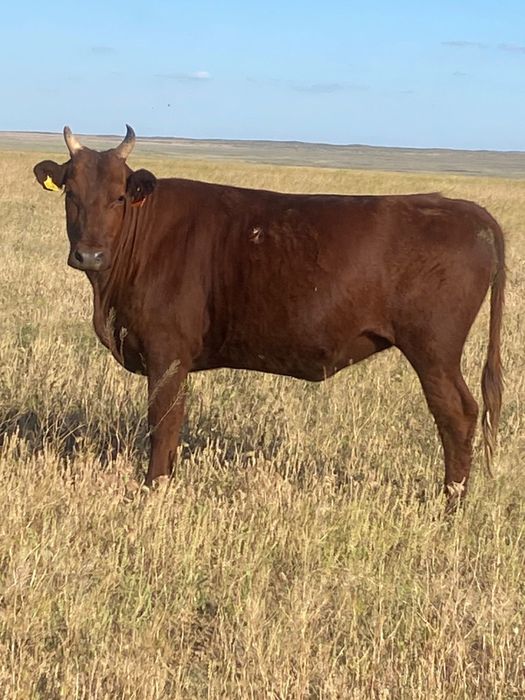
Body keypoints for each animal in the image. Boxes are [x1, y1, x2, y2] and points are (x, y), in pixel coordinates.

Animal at [33, 126, 505, 508]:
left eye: (118, 196)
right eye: (71, 194)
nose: (89, 255)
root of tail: (461, 208)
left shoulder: (167, 352)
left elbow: (163, 421)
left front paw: (154, 489)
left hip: (433, 349)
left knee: (457, 414)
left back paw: (451, 504)